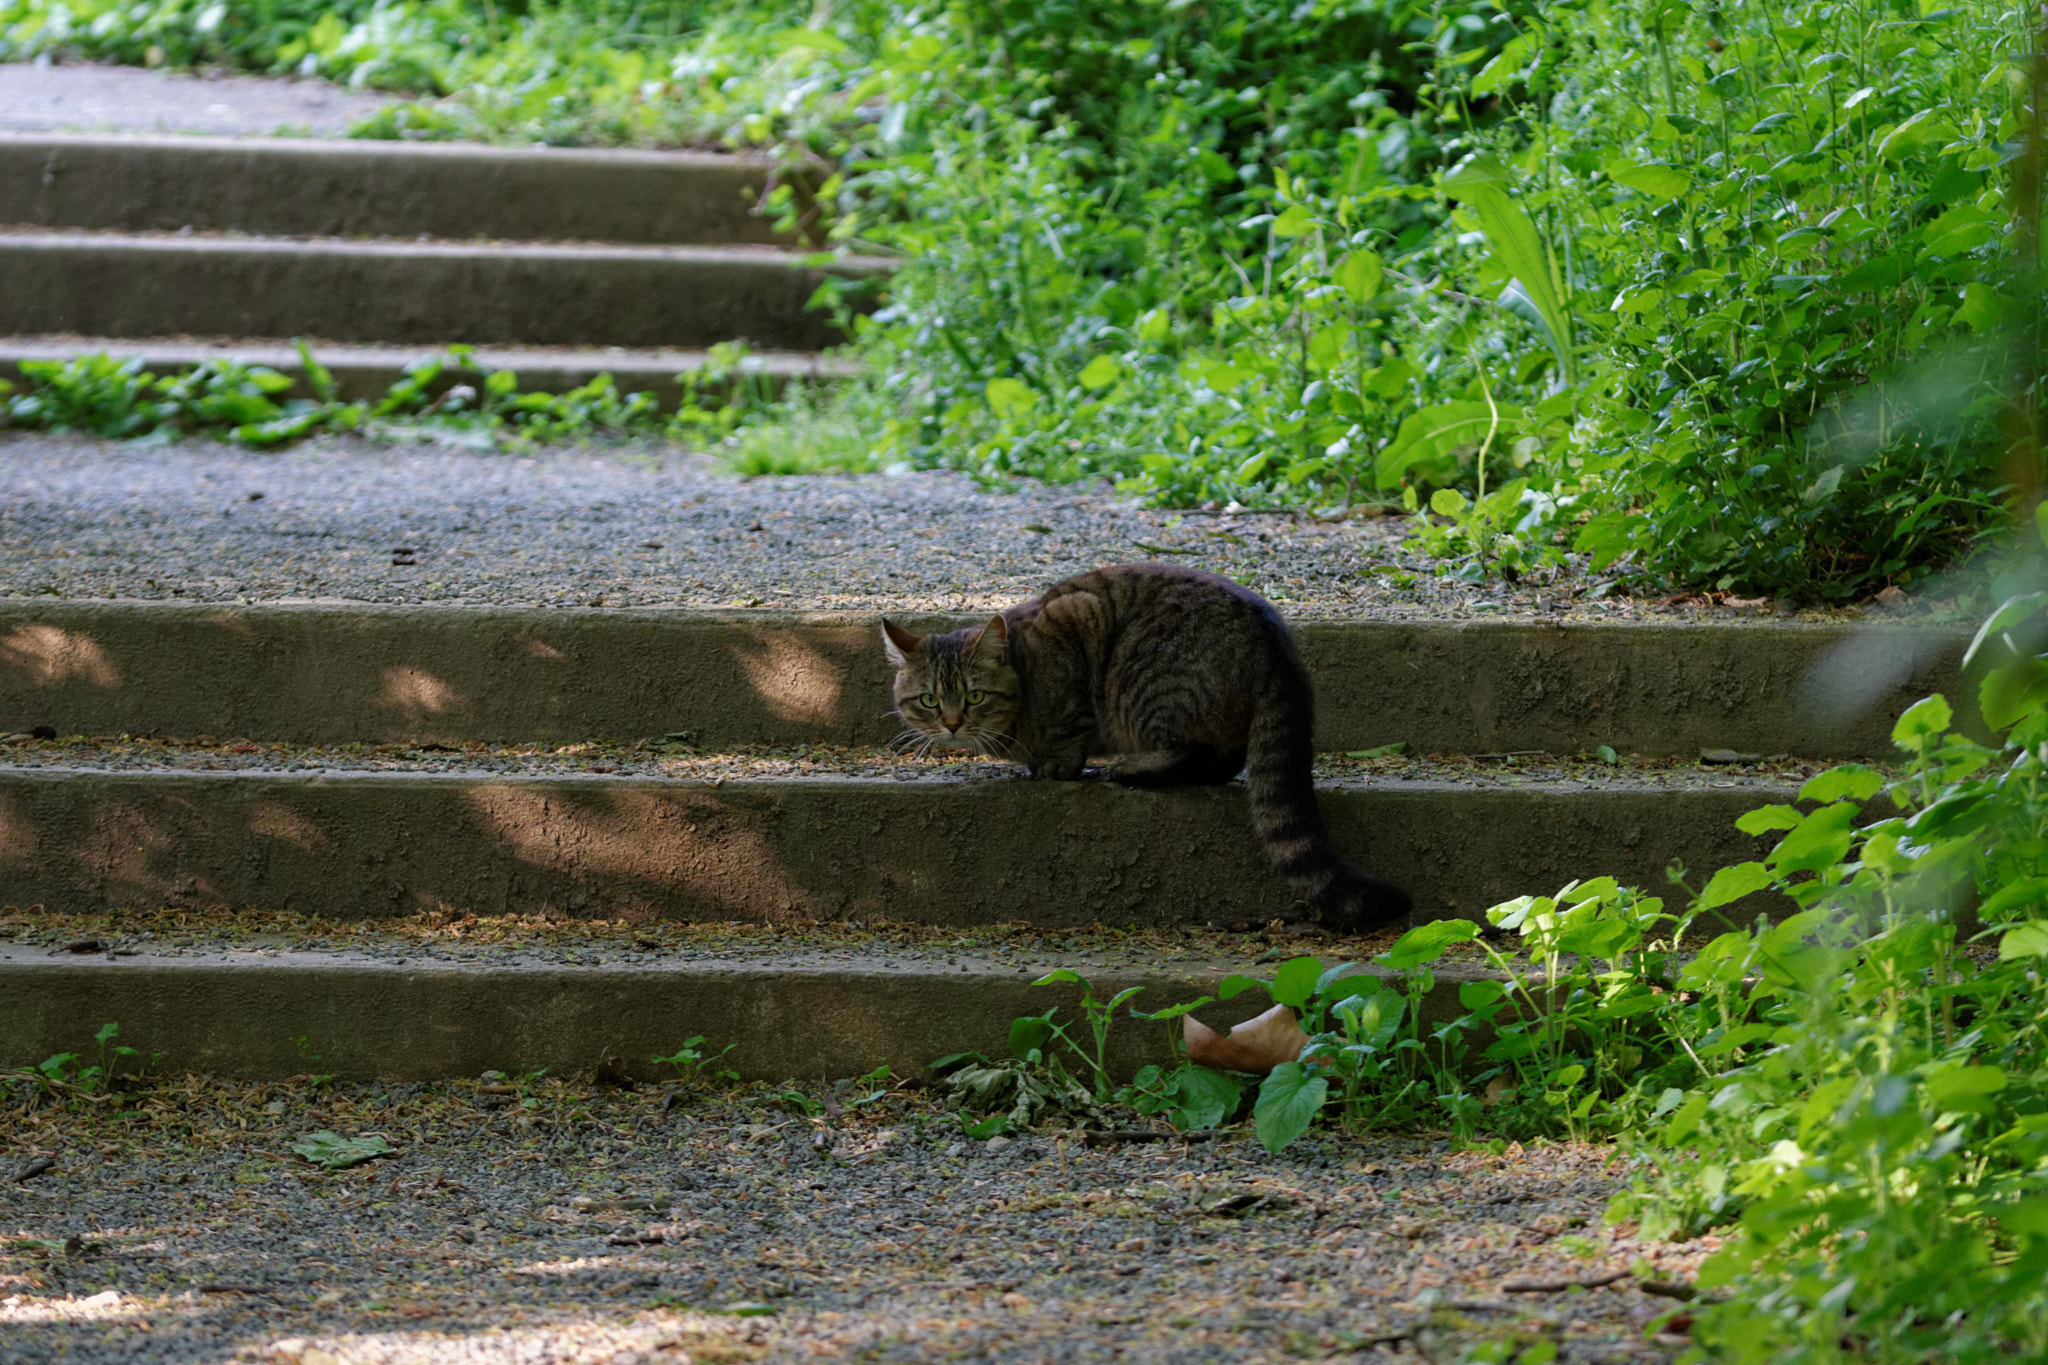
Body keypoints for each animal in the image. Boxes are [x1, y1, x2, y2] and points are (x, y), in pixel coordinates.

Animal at [880, 564, 1409, 929]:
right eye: (929, 700)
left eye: (974, 697)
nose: (951, 724)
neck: (1024, 676)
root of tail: (1277, 644)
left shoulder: (1077, 621)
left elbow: (1070, 731)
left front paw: (1056, 765)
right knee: (1225, 758)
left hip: (1142, 681)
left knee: (1198, 750)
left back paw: (1134, 769)